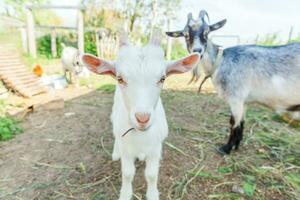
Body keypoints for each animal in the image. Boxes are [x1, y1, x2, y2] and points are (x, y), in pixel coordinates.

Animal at [166, 10, 300, 155]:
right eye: (185, 34)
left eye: (206, 32)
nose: (197, 50)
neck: (220, 62)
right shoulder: (244, 101)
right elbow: (241, 123)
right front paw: (236, 145)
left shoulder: (236, 98)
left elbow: (233, 123)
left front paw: (226, 148)